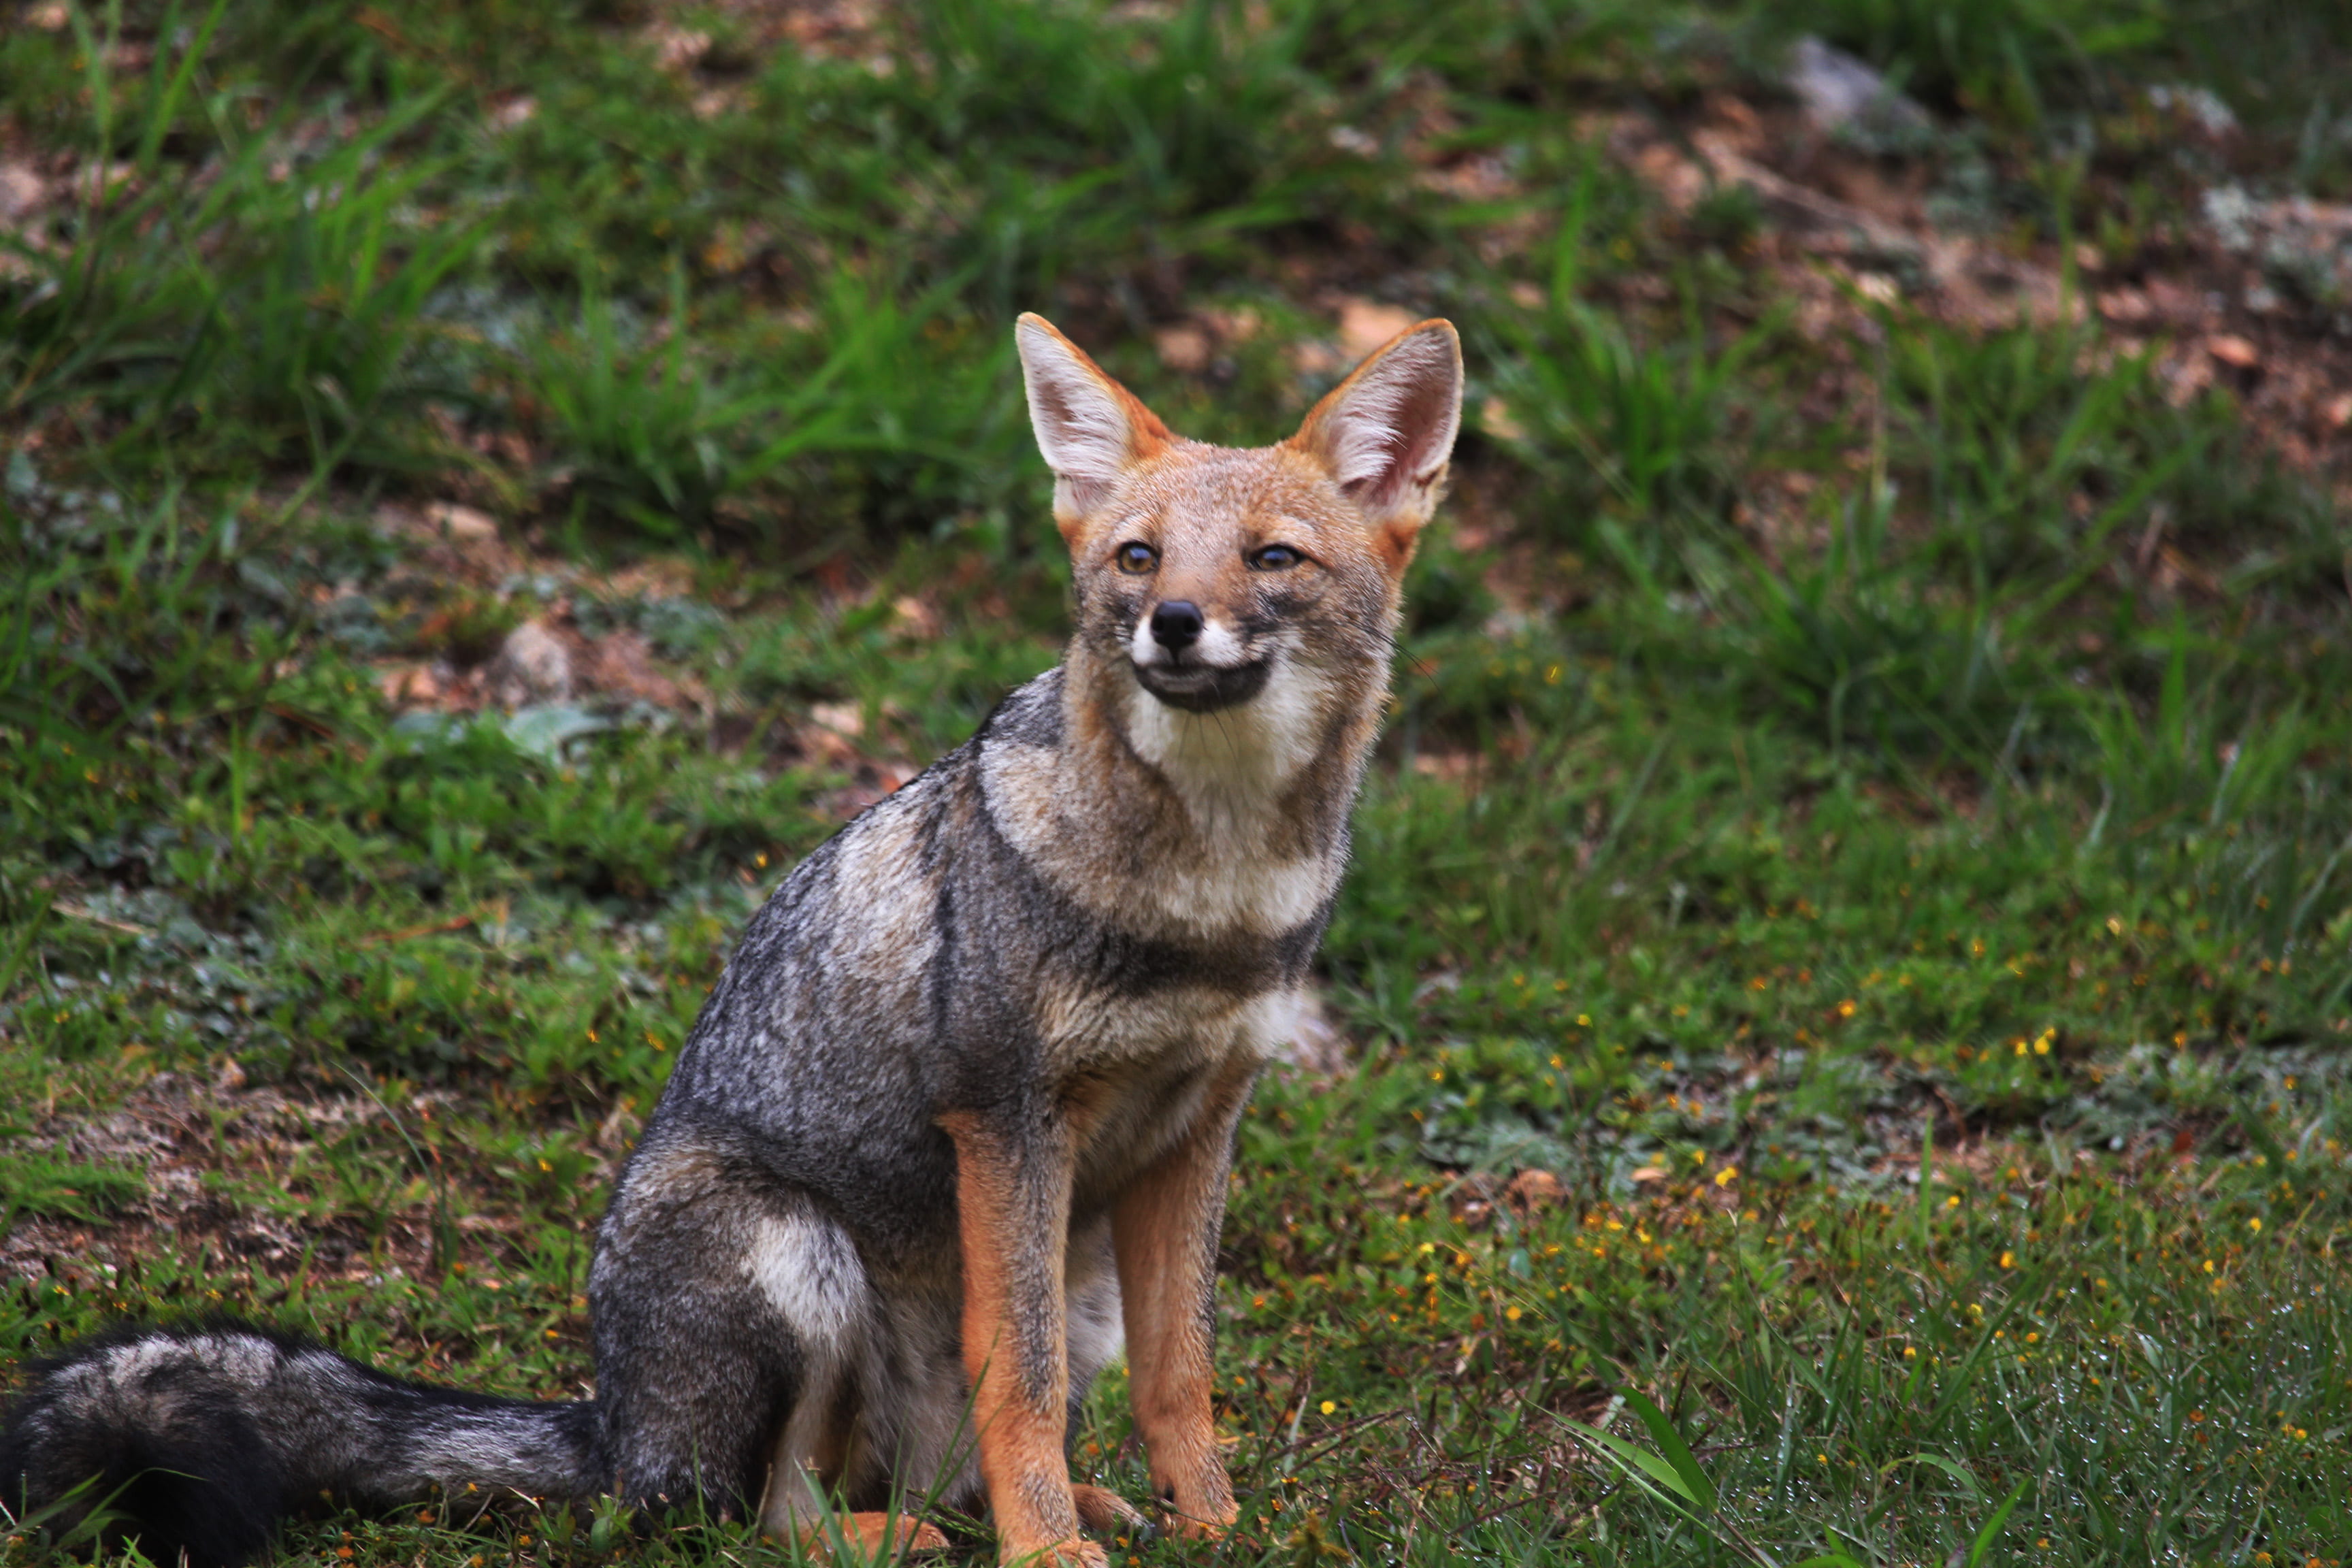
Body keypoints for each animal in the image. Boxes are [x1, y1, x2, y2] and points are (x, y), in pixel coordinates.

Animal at [0, 311, 1464, 1568]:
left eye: (1271, 559)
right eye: (1140, 558)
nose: (1171, 623)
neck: (1210, 894)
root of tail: (607, 1419)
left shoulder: (1196, 1128)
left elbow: (1183, 1376)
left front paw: (1218, 1528)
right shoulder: (1005, 1114)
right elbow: (1027, 1380)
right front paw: (1051, 1549)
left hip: (1061, 1272)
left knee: (897, 1470)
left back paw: (1053, 1507)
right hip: (795, 1258)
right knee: (738, 1512)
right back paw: (905, 1532)